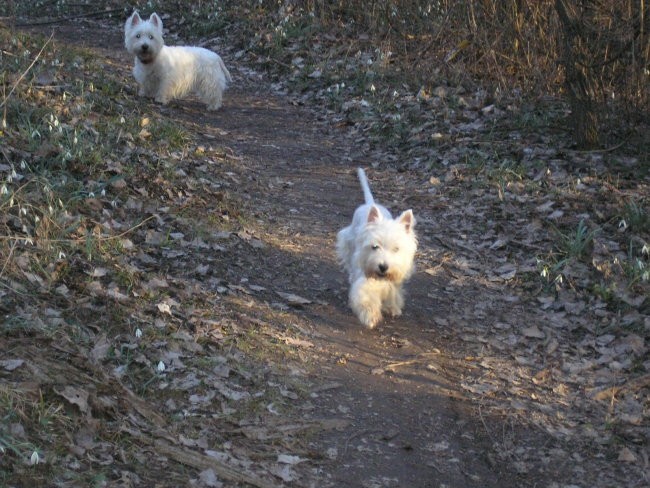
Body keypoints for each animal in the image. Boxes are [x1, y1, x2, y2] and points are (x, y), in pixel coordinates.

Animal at [334, 167, 416, 328]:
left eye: (396, 249)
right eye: (375, 246)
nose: (383, 267)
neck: (380, 278)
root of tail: (370, 203)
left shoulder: (393, 281)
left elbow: (393, 293)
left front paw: (392, 308)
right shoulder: (365, 281)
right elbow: (366, 297)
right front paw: (370, 317)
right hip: (349, 243)